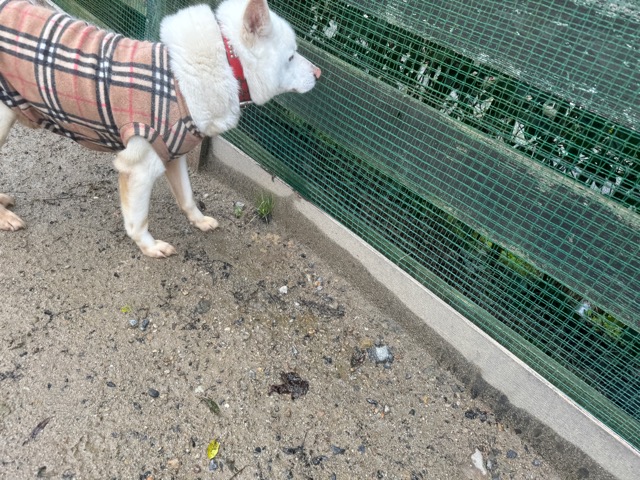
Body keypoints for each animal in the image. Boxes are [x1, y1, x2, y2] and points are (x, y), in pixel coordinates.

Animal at [0, 0, 320, 257]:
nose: (319, 73)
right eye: (291, 56)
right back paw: (5, 217)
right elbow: (137, 220)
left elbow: (187, 197)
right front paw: (150, 247)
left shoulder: (172, 154)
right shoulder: (138, 168)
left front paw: (200, 221)